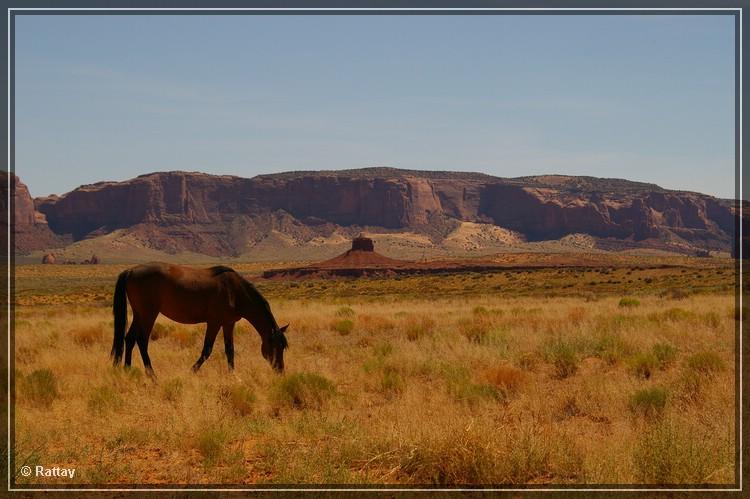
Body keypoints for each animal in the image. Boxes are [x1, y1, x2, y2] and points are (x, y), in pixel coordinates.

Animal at [110, 262, 290, 378]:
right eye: (276, 346)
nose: (281, 371)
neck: (235, 291)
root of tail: (130, 271)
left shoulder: (228, 323)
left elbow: (230, 350)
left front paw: (232, 376)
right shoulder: (214, 323)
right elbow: (207, 350)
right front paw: (191, 372)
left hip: (139, 314)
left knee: (129, 338)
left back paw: (127, 370)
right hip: (148, 314)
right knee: (141, 340)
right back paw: (152, 375)